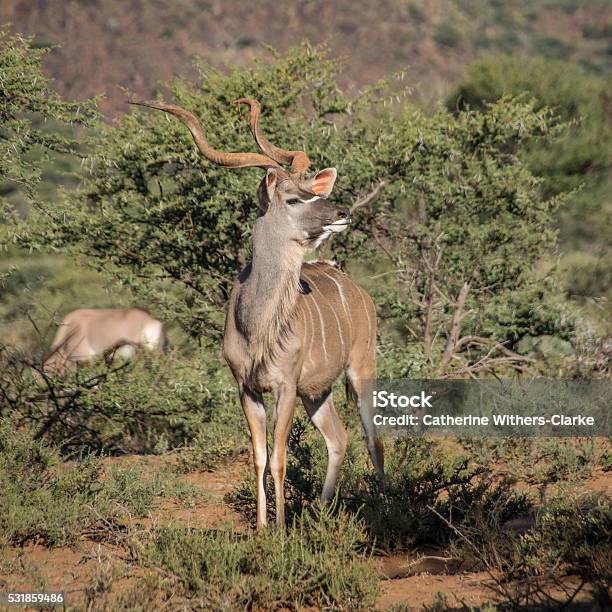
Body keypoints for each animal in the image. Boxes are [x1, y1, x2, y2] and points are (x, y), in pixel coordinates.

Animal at [133, 98, 382, 528]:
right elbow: (260, 458)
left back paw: (390, 505)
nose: (343, 212)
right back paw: (321, 511)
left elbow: (279, 459)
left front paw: (281, 529)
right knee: (339, 438)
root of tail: (360, 293)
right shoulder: (247, 388)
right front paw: (264, 529)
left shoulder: (284, 387)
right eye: (295, 198)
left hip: (360, 369)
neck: (255, 324)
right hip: (318, 392)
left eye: (312, 190)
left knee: (373, 437)